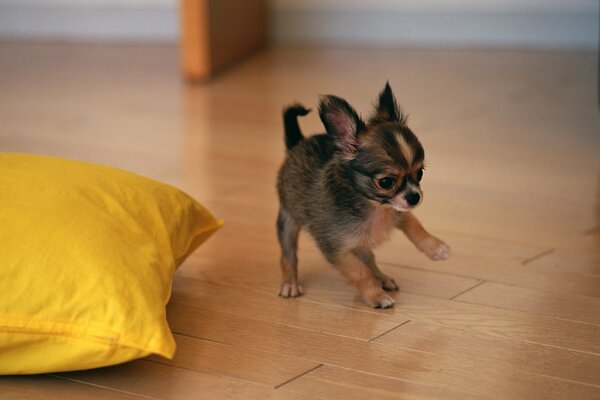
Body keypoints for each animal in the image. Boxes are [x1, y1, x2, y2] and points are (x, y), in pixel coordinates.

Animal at [274, 83, 448, 310]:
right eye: (386, 182)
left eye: (420, 173)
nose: (415, 197)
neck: (376, 207)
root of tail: (297, 144)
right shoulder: (338, 251)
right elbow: (361, 273)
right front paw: (377, 296)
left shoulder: (398, 212)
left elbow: (415, 226)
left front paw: (436, 248)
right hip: (288, 220)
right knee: (288, 255)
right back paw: (290, 284)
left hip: (361, 242)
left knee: (370, 257)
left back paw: (382, 277)